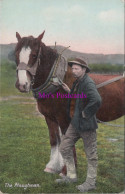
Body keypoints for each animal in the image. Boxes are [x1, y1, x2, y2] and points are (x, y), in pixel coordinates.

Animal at [14, 31, 124, 175]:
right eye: (16, 54)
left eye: (34, 55)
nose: (22, 85)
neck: (57, 82)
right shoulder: (50, 118)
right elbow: (54, 140)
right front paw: (53, 166)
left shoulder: (64, 119)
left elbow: (67, 142)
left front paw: (68, 170)